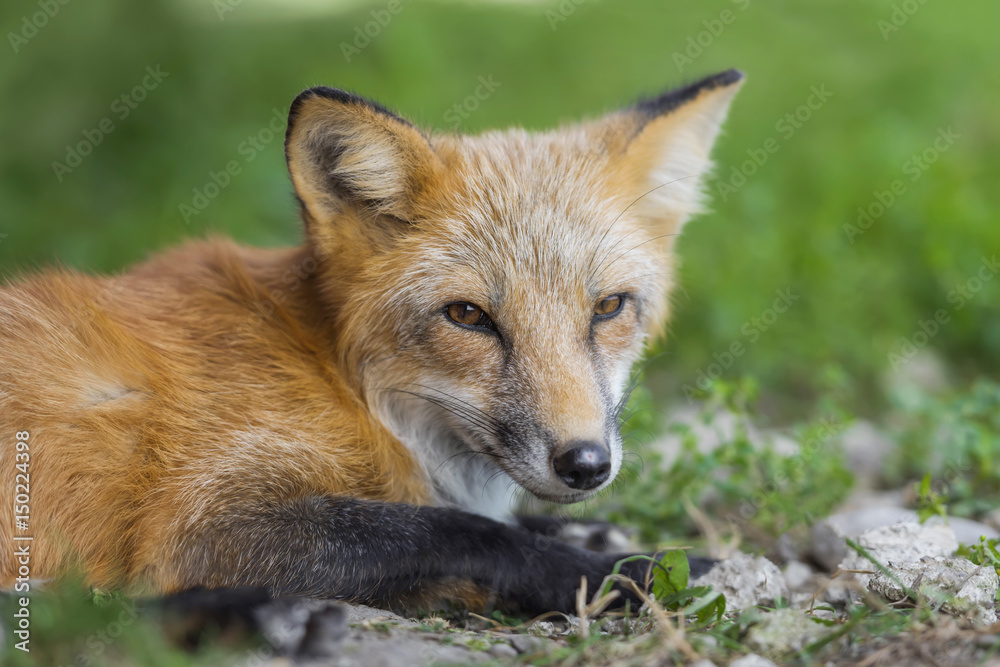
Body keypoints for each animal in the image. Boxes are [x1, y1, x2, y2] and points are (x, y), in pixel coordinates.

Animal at [0, 70, 744, 612]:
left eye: (610, 307)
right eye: (468, 316)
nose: (585, 464)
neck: (348, 385)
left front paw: (596, 537)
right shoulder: (197, 526)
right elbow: (452, 529)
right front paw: (624, 572)